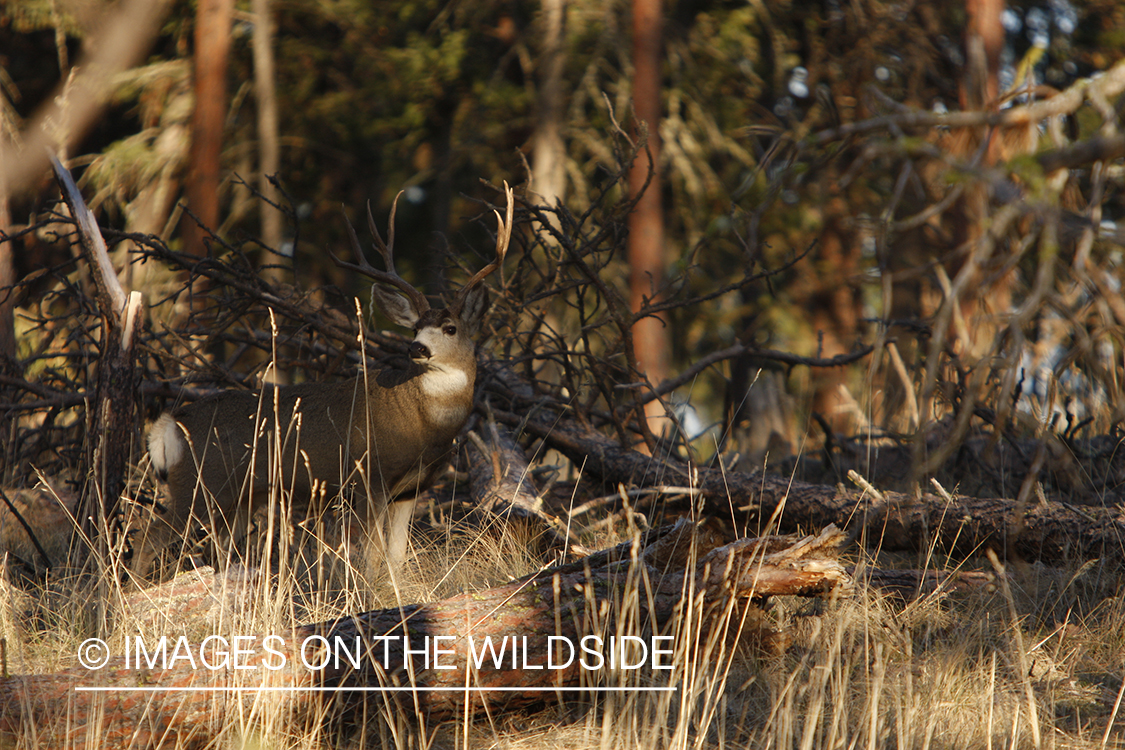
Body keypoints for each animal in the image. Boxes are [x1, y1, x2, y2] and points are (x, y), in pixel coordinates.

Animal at [142, 184, 514, 577]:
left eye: (450, 328)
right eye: (415, 328)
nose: (417, 347)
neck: (424, 426)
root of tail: (169, 424)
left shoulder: (411, 490)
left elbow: (397, 557)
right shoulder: (368, 477)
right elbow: (373, 557)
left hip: (236, 499)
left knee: (217, 550)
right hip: (201, 486)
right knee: (147, 539)